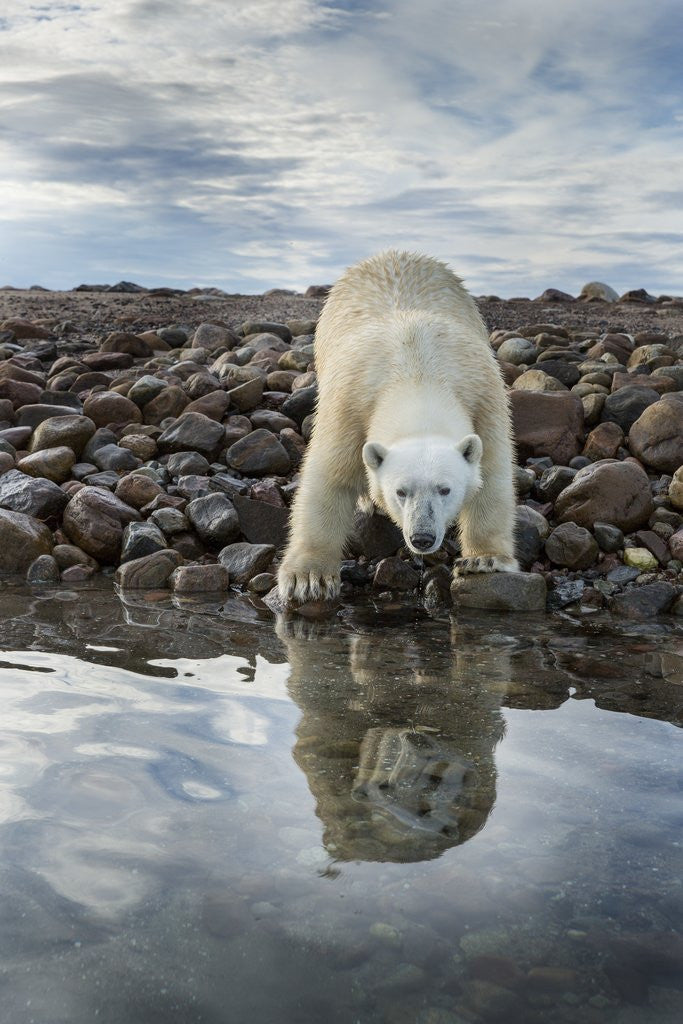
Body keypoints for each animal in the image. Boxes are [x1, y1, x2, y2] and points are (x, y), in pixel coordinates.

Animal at [278, 249, 518, 604]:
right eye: (400, 491)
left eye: (445, 489)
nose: (422, 538)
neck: (416, 370)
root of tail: (393, 253)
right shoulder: (349, 402)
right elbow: (329, 477)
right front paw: (308, 578)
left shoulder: (484, 397)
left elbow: (492, 474)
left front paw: (485, 559)